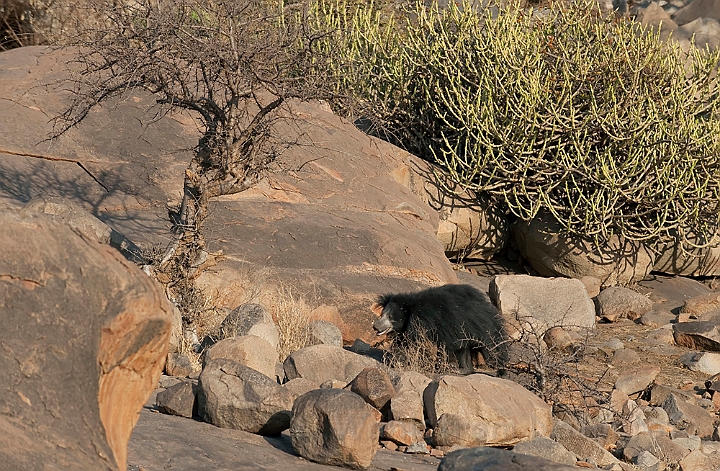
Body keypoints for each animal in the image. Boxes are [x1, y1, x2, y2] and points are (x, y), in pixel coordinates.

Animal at [372, 282, 506, 374]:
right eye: (382, 314)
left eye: (390, 317)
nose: (375, 326)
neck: (411, 311)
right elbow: (404, 343)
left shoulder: (426, 324)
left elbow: (415, 344)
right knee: (464, 348)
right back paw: (462, 369)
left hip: (482, 329)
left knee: (493, 350)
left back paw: (501, 371)